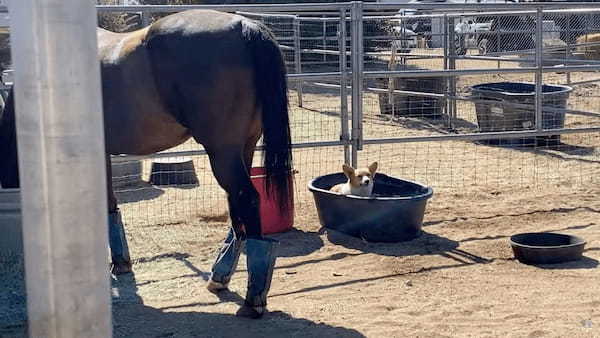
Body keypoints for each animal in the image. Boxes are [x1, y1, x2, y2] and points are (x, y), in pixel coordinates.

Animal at [0, 9, 292, 318]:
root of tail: (243, 25)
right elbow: (109, 203)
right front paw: (120, 263)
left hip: (222, 151)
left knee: (246, 200)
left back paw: (252, 302)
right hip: (243, 147)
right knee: (237, 208)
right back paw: (219, 278)